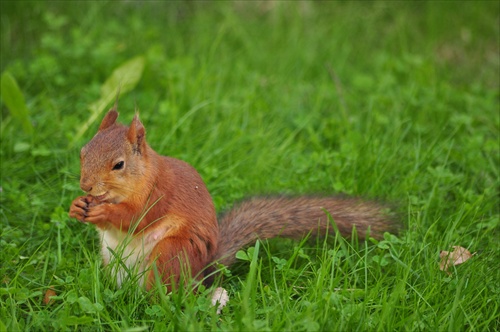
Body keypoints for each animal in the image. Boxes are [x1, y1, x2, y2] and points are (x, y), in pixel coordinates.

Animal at [69, 108, 398, 290]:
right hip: (112, 260)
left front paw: (104, 212)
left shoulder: (158, 194)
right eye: (83, 151)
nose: (86, 185)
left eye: (119, 165)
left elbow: (135, 218)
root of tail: (200, 275)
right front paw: (77, 206)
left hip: (170, 254)